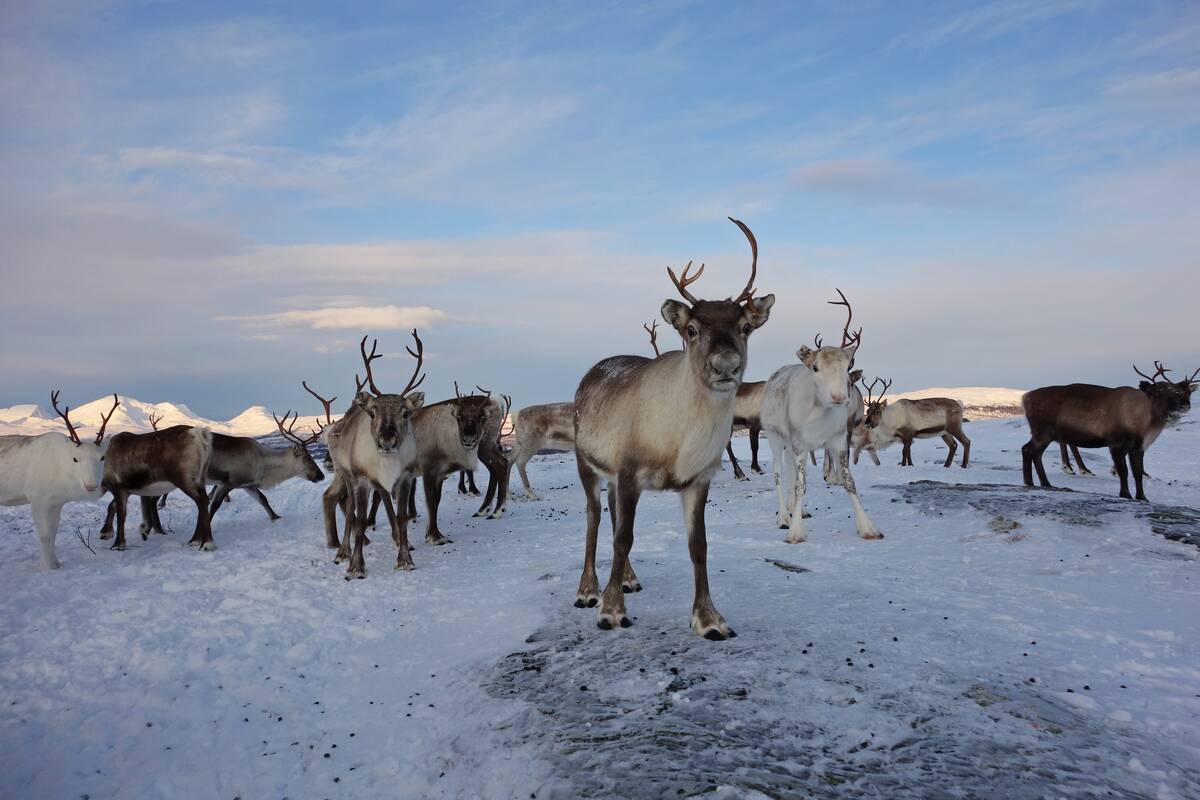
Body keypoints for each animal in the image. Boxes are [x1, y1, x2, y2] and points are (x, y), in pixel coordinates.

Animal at [0, 392, 117, 569]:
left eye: (102, 457)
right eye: (75, 459)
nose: (91, 485)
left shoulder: (57, 502)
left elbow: (53, 532)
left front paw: (55, 562)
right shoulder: (37, 500)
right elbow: (44, 535)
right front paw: (48, 566)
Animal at [318, 333, 425, 578]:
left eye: (406, 413)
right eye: (373, 413)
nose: (387, 440)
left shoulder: (405, 478)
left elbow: (402, 517)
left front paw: (405, 558)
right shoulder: (361, 480)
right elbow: (358, 521)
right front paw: (356, 566)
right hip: (345, 474)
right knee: (348, 509)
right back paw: (343, 551)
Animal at [573, 217, 774, 639]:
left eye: (745, 327)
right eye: (692, 329)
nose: (725, 365)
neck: (679, 442)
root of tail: (592, 372)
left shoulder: (697, 479)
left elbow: (699, 546)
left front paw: (709, 619)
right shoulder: (630, 470)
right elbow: (623, 538)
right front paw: (611, 611)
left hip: (613, 477)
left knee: (612, 516)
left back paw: (628, 579)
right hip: (588, 463)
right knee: (595, 517)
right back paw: (588, 590)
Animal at [761, 289, 883, 544]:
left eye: (848, 366)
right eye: (815, 367)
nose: (839, 396)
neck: (819, 415)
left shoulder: (837, 441)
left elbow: (849, 481)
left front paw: (868, 527)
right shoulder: (799, 442)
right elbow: (800, 485)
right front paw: (795, 532)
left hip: (790, 445)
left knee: (789, 472)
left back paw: (795, 510)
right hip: (775, 436)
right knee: (778, 473)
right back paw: (783, 517)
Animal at [1021, 362, 1197, 501]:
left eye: (1181, 391)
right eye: (1159, 392)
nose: (1185, 405)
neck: (1143, 424)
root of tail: (1026, 398)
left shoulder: (1137, 447)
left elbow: (1138, 472)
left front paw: (1142, 497)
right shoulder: (1116, 443)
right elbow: (1123, 471)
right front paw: (1125, 494)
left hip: (1045, 434)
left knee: (1033, 452)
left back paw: (1042, 483)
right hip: (1042, 431)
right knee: (1028, 449)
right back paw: (1032, 482)